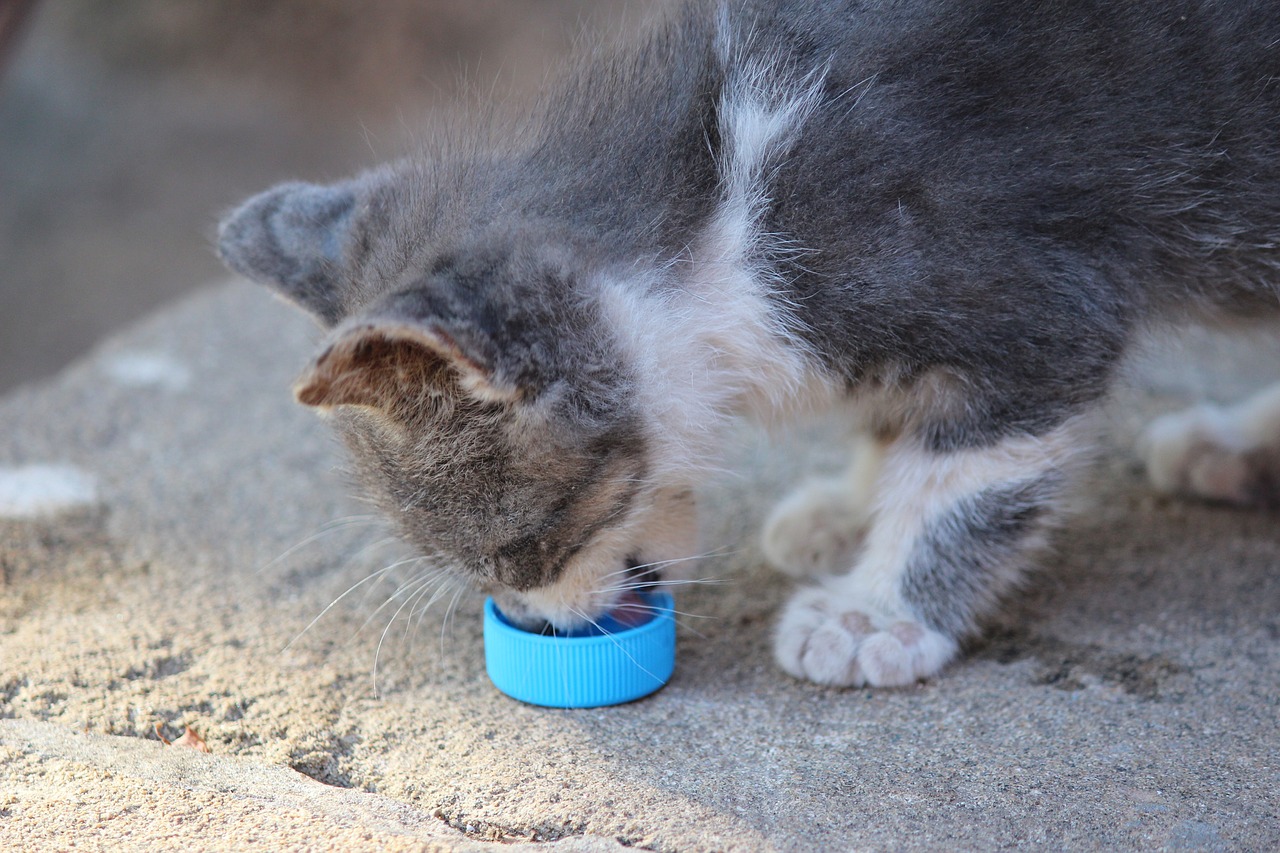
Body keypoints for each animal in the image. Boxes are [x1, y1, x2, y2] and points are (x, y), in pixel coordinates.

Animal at [217, 0, 1280, 686]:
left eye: (518, 550)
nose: (533, 623)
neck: (726, 212)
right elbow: (897, 413)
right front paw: (852, 509)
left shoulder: (1031, 302)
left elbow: (967, 476)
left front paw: (876, 608)